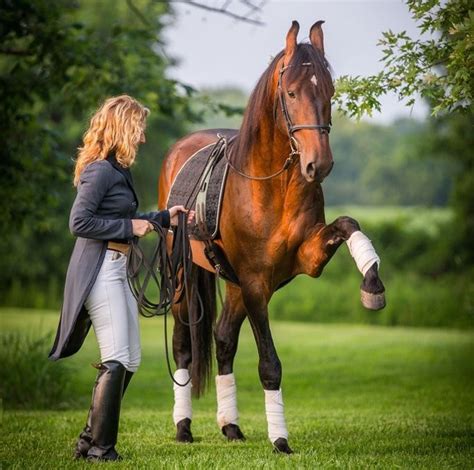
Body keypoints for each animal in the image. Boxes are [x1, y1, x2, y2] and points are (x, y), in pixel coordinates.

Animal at [157, 20, 386, 454]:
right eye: (292, 92)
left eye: (330, 91)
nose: (319, 164)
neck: (270, 185)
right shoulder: (255, 284)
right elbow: (269, 364)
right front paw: (280, 439)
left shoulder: (306, 259)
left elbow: (349, 224)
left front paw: (372, 285)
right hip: (183, 277)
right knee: (183, 344)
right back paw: (183, 427)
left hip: (230, 282)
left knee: (223, 340)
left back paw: (230, 426)